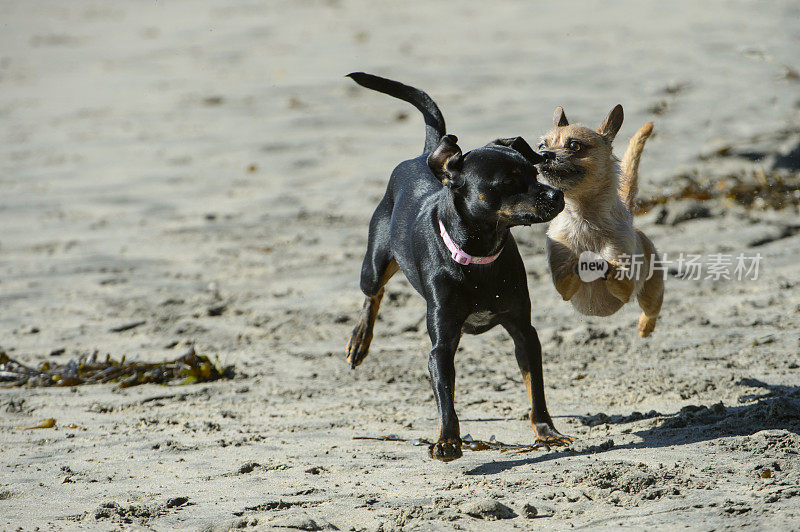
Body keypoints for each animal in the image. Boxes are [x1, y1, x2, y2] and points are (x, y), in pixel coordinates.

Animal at [344, 71, 568, 462]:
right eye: (508, 182)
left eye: (534, 172)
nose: (558, 195)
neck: (479, 257)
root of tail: (425, 154)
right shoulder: (442, 346)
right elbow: (444, 396)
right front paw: (448, 440)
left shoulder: (524, 333)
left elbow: (535, 389)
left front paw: (547, 432)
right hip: (373, 264)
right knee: (373, 293)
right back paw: (359, 341)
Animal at [536, 104, 664, 336]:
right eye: (541, 145)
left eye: (575, 146)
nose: (543, 154)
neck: (584, 218)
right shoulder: (562, 284)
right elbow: (569, 268)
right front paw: (582, 260)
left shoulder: (625, 287)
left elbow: (612, 267)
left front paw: (597, 261)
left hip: (652, 293)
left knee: (651, 309)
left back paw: (645, 326)